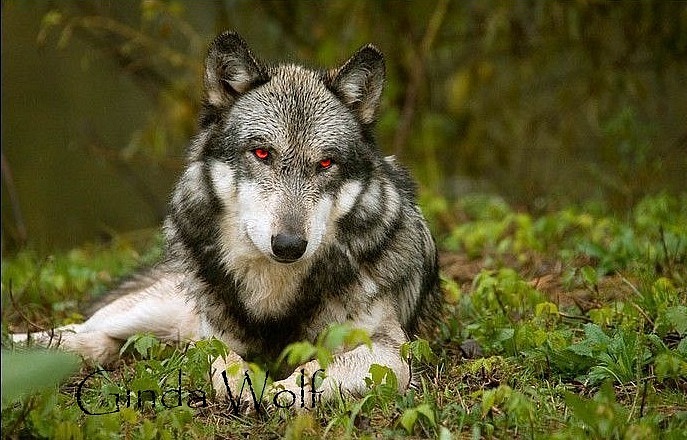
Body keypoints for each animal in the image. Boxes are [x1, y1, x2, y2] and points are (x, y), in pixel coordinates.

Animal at [11, 31, 440, 410]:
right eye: (262, 153)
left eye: (325, 163)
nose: (289, 245)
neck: (274, 289)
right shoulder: (210, 338)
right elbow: (226, 361)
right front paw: (246, 384)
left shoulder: (388, 351)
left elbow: (315, 370)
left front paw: (278, 391)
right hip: (154, 310)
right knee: (82, 329)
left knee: (103, 342)